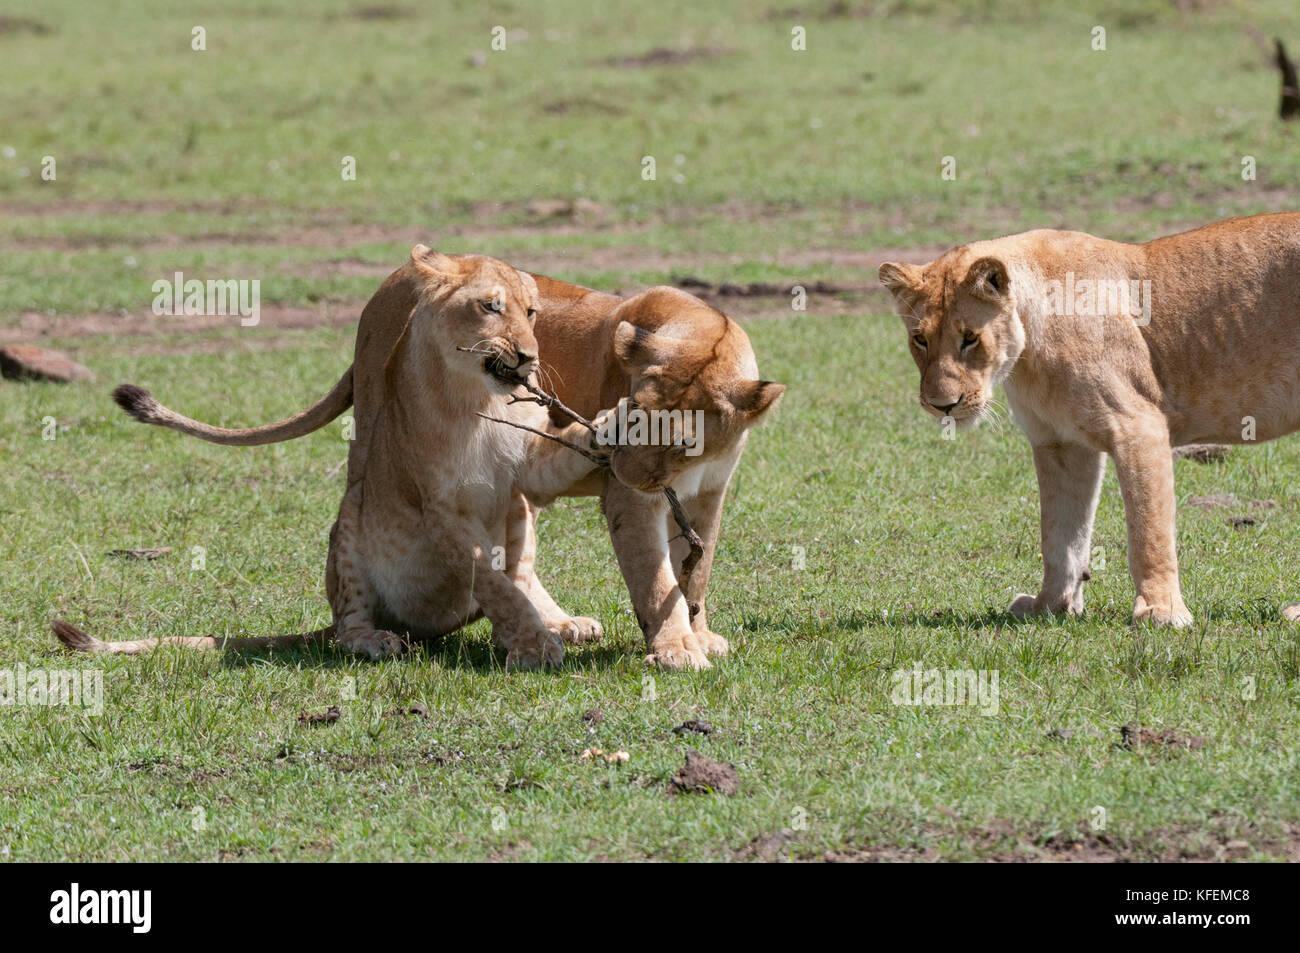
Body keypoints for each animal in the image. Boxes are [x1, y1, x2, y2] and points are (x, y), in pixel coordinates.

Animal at [55, 250, 784, 670]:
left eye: (682, 442)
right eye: (636, 415)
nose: (618, 466)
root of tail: (399, 273)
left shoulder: (708, 495)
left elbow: (696, 571)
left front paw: (698, 633)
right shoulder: (630, 502)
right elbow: (655, 577)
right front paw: (676, 647)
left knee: (517, 554)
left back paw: (556, 621)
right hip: (375, 447)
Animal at [879, 212, 1300, 629]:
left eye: (970, 338)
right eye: (920, 340)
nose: (943, 405)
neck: (1029, 352)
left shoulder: (1138, 425)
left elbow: (1149, 530)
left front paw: (1162, 611)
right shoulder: (1060, 444)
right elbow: (1060, 535)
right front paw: (1051, 605)